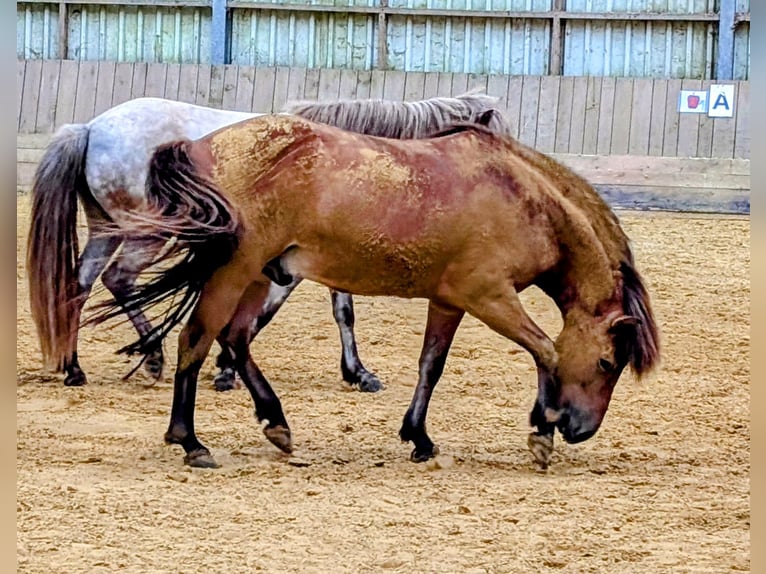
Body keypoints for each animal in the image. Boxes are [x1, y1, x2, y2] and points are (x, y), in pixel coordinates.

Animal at [88, 115, 660, 470]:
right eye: (608, 363)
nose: (581, 430)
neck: (520, 197)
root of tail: (199, 144)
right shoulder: (488, 297)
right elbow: (545, 351)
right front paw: (541, 430)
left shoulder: (449, 299)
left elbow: (432, 366)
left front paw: (419, 437)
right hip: (234, 271)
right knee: (197, 339)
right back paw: (190, 440)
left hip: (260, 274)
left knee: (235, 338)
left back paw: (276, 423)